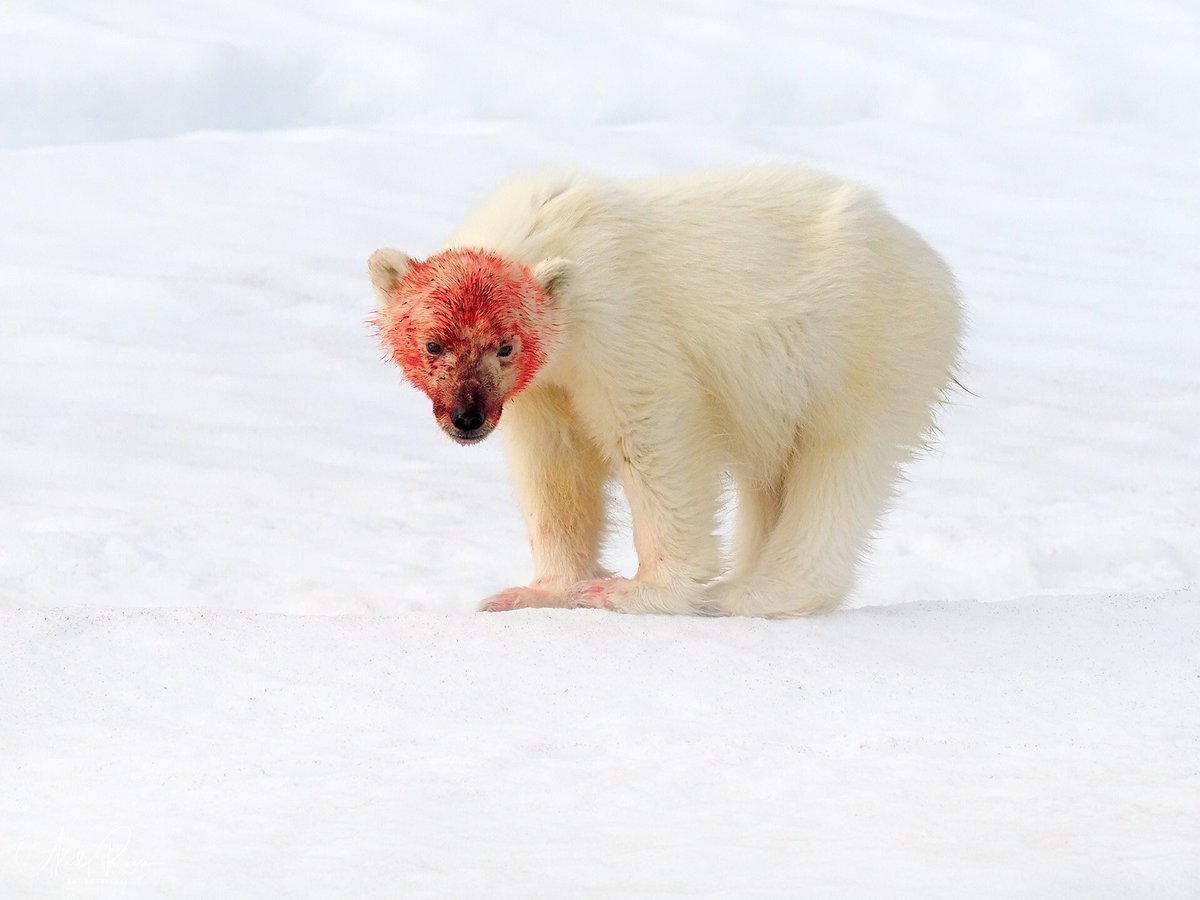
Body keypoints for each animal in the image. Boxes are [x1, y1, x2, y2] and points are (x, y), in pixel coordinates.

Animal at [369, 166, 962, 617]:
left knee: (839, 465)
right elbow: (554, 465)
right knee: (773, 478)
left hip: (861, 349)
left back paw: (750, 593)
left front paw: (636, 591)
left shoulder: (621, 325)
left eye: (505, 345)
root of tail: (930, 261)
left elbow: (654, 437)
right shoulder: (543, 385)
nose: (467, 417)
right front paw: (532, 592)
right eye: (433, 343)